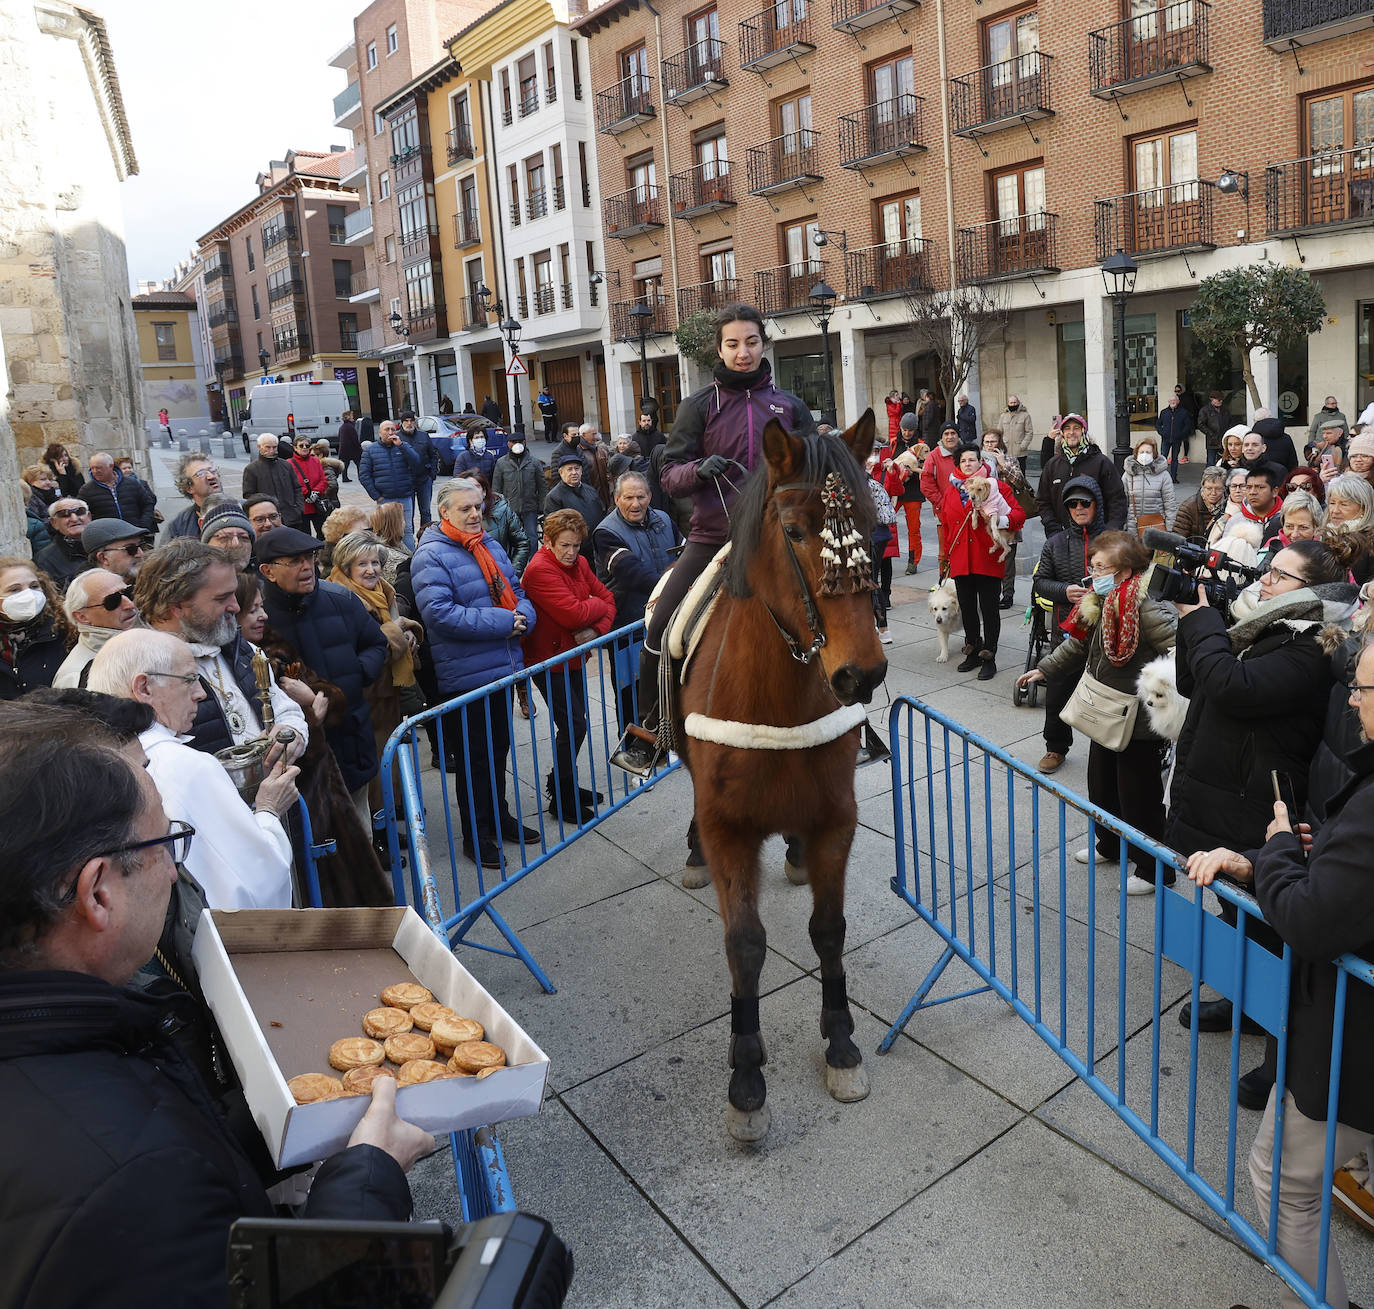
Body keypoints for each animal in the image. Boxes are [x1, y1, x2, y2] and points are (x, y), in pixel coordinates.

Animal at [678, 409, 890, 1131]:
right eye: (795, 531)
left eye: (873, 526)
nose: (861, 673)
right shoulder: (729, 830)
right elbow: (745, 944)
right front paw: (746, 1073)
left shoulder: (836, 820)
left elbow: (829, 931)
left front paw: (842, 1042)